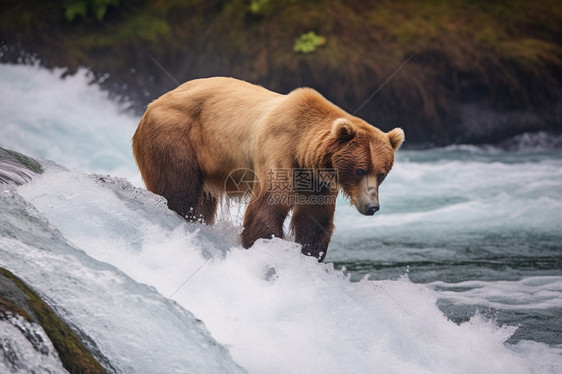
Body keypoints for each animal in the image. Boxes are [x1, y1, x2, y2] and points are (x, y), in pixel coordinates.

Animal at [132, 77, 402, 262]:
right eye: (360, 170)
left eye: (381, 173)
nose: (372, 206)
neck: (303, 153)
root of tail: (152, 104)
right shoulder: (278, 152)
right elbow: (267, 210)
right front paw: (271, 250)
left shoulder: (318, 181)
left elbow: (314, 221)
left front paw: (309, 253)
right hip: (175, 137)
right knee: (179, 191)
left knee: (202, 202)